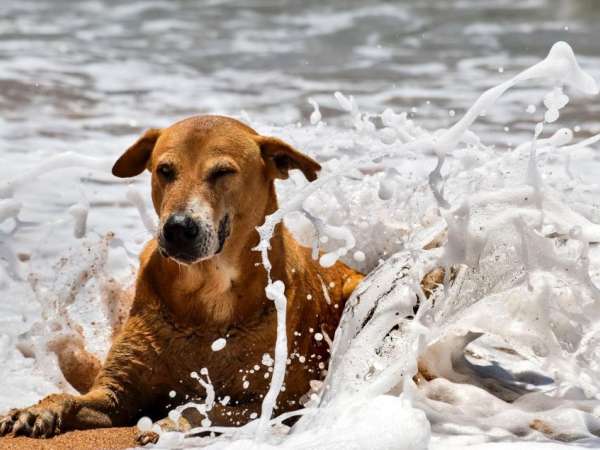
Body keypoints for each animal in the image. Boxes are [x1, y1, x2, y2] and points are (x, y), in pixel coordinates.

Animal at [0, 116, 364, 442]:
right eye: (165, 171)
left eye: (222, 172)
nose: (177, 228)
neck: (208, 292)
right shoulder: (117, 393)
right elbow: (75, 398)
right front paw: (37, 409)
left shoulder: (276, 402)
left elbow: (203, 408)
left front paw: (170, 424)